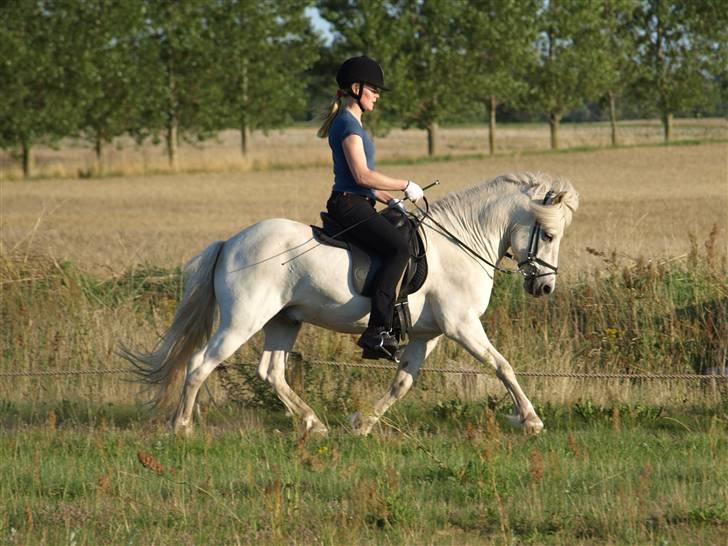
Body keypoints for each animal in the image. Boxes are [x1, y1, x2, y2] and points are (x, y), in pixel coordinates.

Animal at [125, 172, 580, 436]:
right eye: (549, 235)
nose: (544, 288)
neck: (461, 242)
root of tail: (231, 242)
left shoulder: (428, 335)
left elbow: (402, 383)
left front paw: (362, 424)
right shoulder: (462, 325)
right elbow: (502, 365)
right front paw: (532, 419)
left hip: (283, 321)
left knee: (271, 371)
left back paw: (313, 423)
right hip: (242, 320)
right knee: (201, 363)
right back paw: (181, 427)